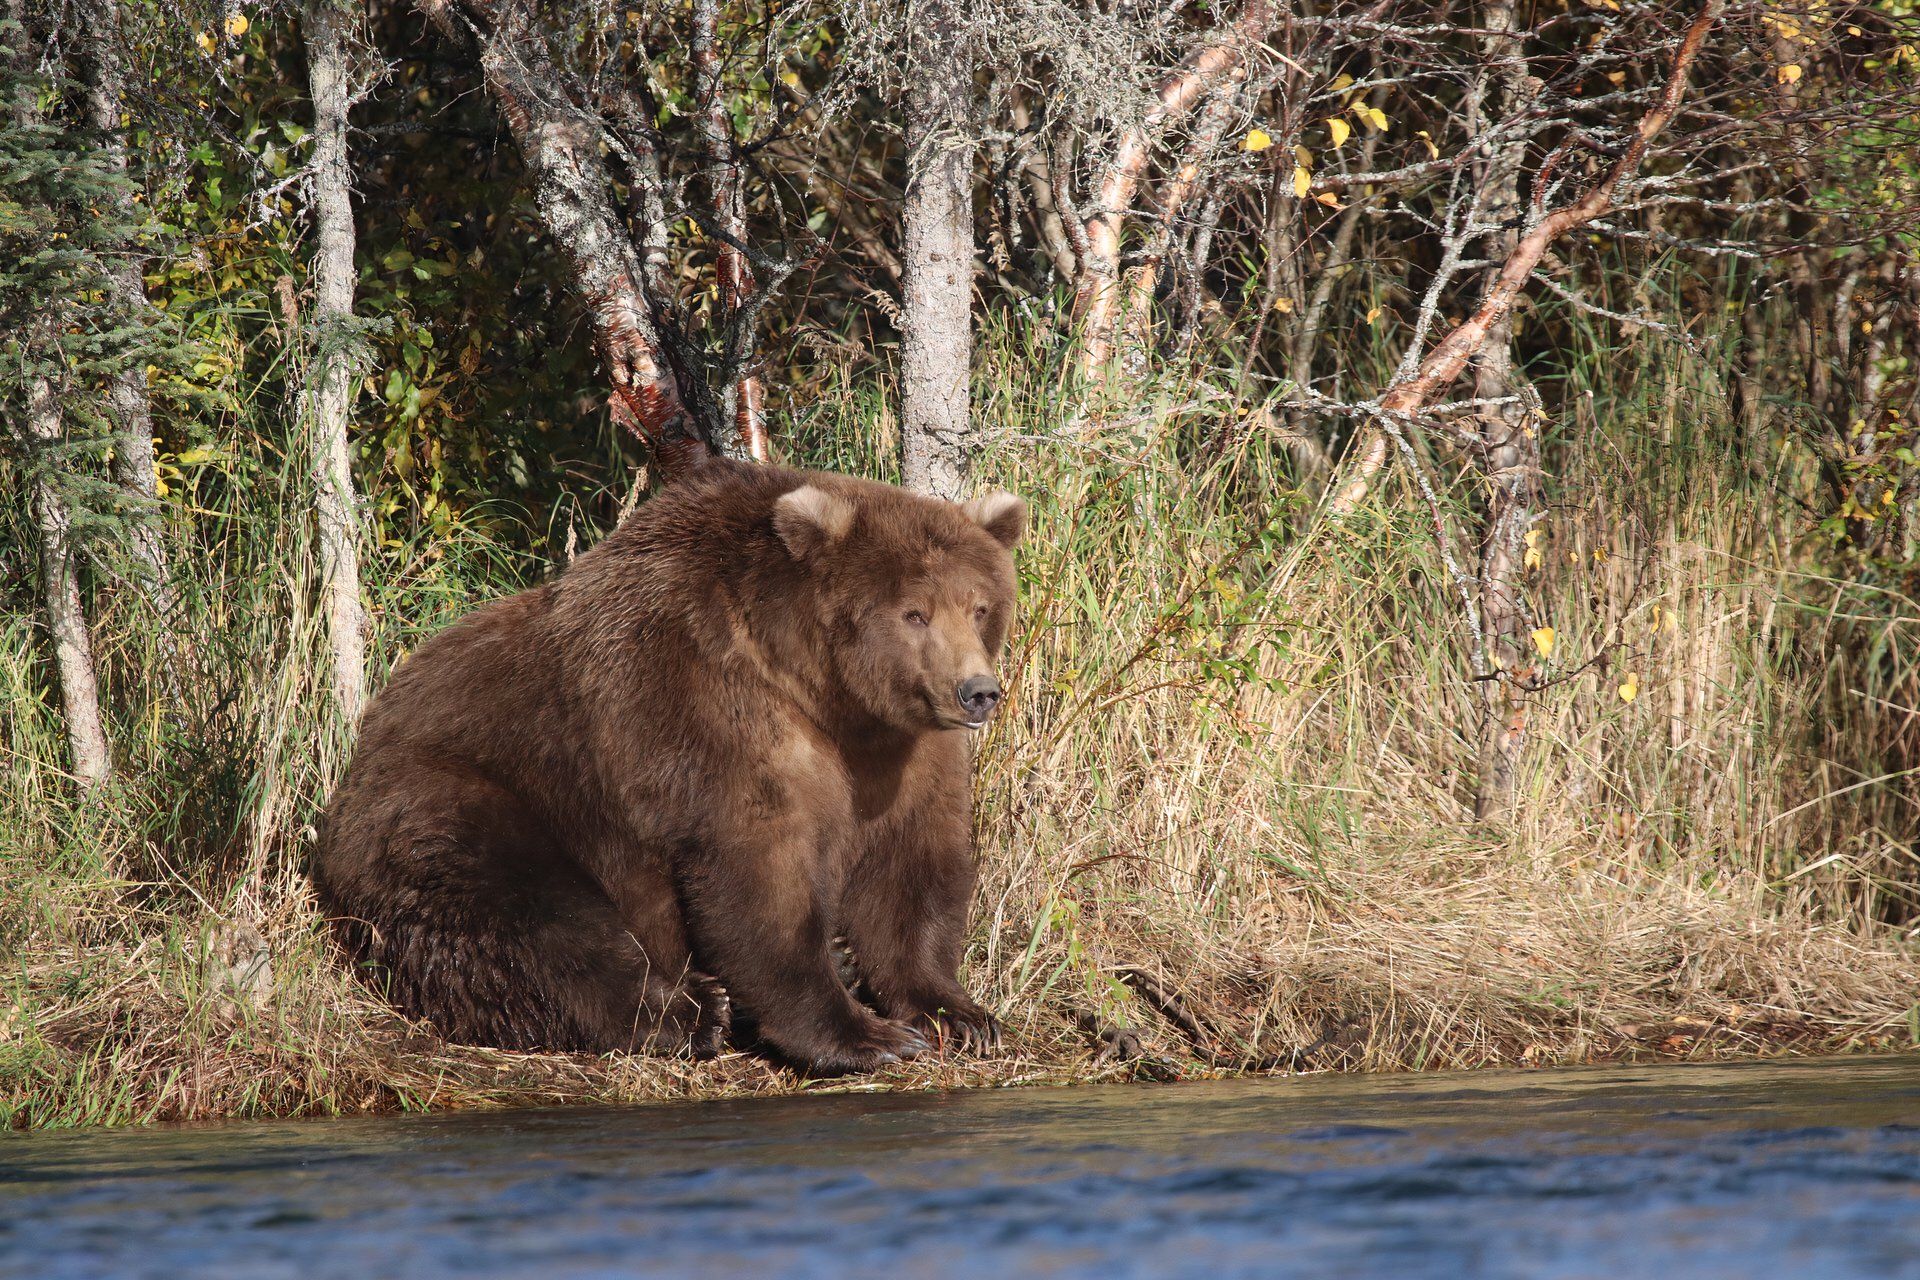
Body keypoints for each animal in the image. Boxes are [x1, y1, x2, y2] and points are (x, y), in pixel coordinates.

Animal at [309, 454, 1029, 1074]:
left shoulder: (900, 752)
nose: (977, 692)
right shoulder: (702, 705)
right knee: (533, 919)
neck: (821, 691)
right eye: (914, 613)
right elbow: (759, 873)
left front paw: (959, 1015)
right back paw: (691, 1011)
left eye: (980, 606)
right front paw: (865, 1034)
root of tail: (353, 765)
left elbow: (911, 868)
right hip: (461, 801)